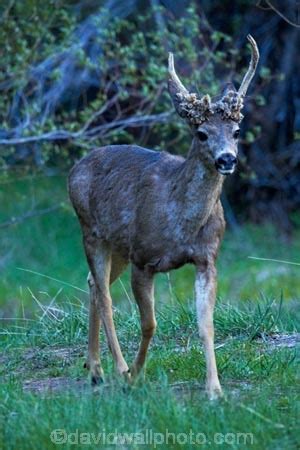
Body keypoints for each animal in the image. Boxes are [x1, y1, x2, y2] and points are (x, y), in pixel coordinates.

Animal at [68, 37, 258, 400]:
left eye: (238, 131)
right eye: (201, 133)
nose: (227, 159)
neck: (181, 224)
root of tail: (75, 168)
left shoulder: (207, 259)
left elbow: (206, 324)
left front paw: (215, 390)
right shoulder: (144, 258)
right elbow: (149, 323)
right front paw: (136, 375)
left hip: (117, 246)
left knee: (93, 284)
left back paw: (94, 368)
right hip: (90, 231)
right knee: (105, 296)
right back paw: (117, 369)